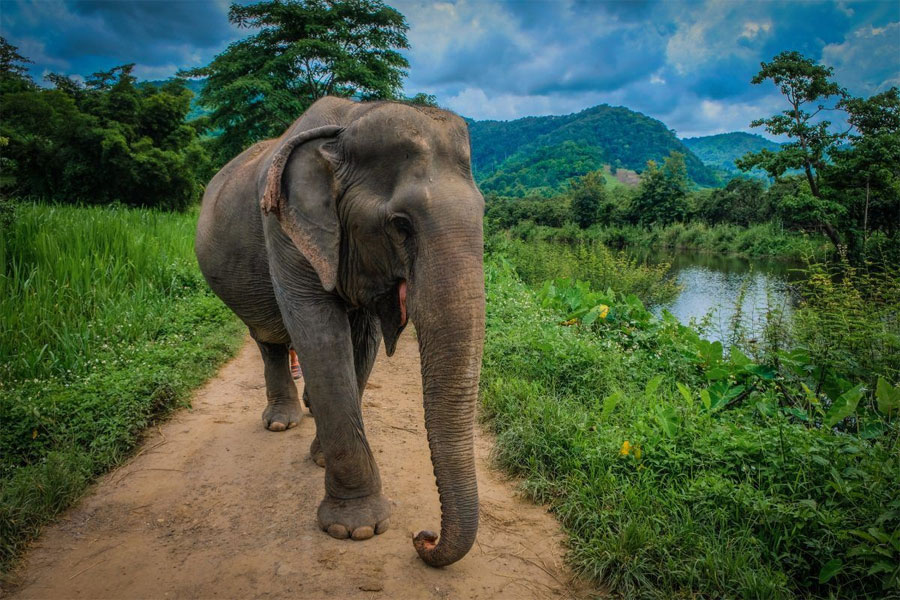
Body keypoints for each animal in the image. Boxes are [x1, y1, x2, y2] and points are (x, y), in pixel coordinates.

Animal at [194, 96, 485, 567]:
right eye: (401, 224)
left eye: (484, 214)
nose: (422, 537)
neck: (349, 123)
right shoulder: (286, 229)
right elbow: (320, 334)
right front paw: (356, 529)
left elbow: (361, 341)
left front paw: (319, 461)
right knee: (268, 337)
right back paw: (282, 423)